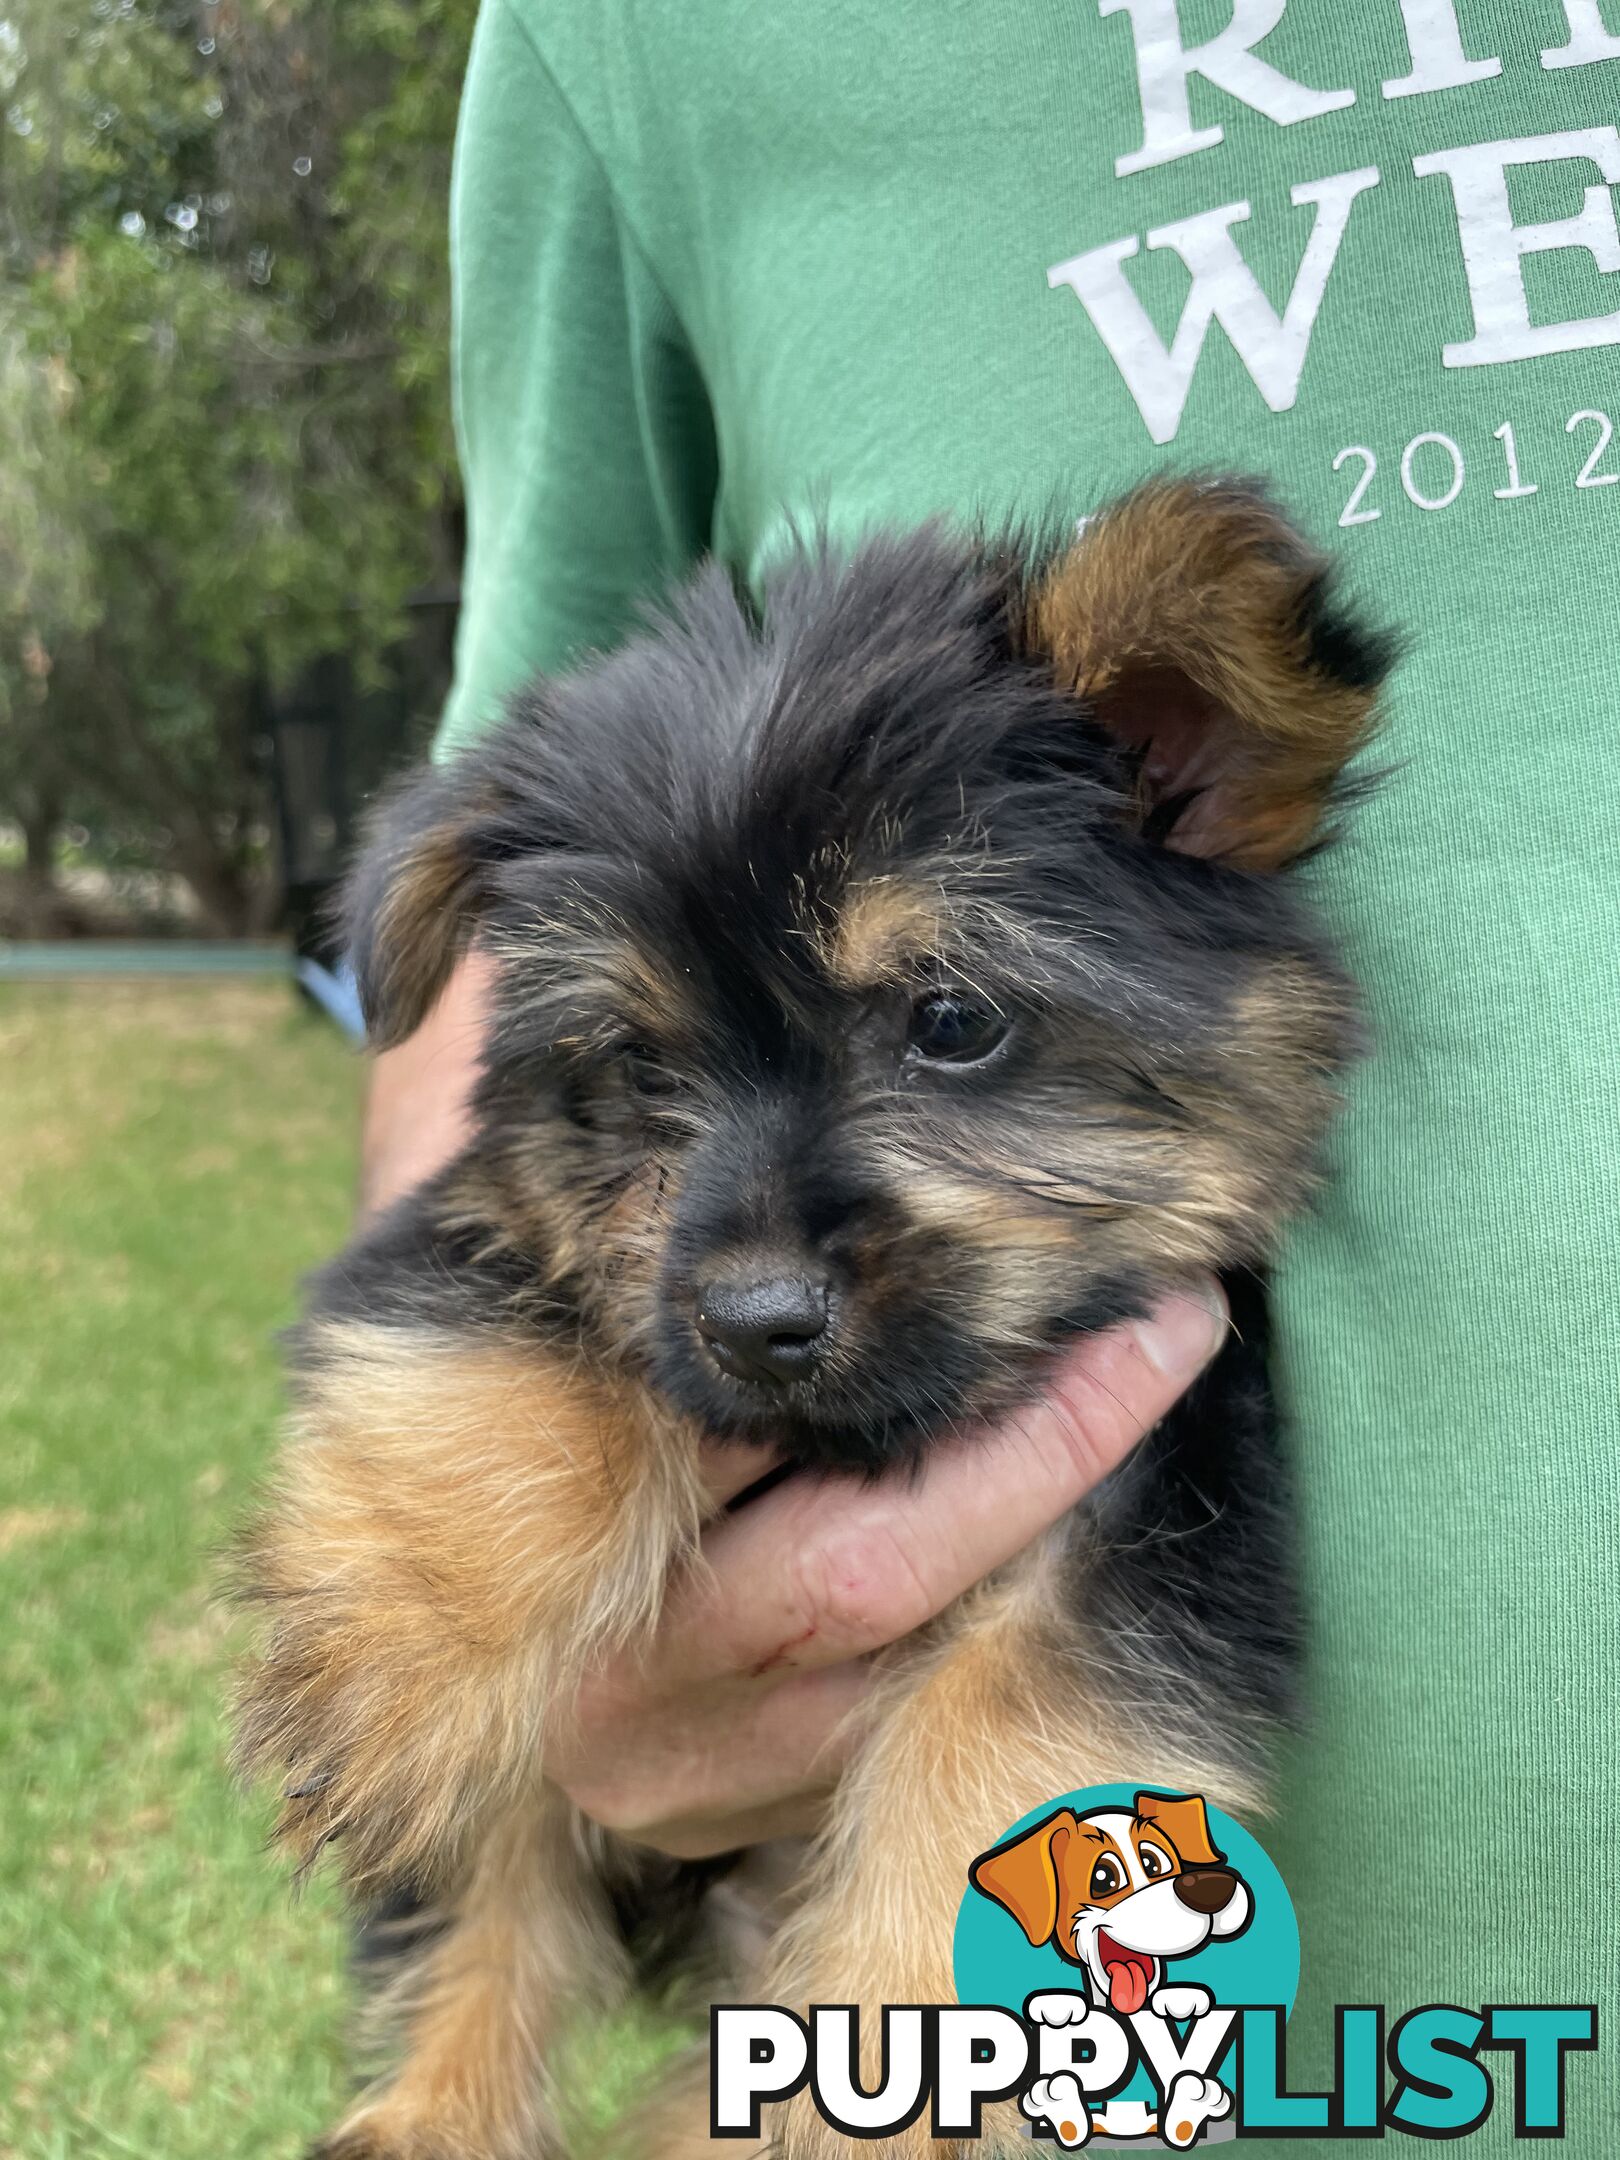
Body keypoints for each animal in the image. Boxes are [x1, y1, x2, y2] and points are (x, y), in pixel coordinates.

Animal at [237, 486, 1399, 2160]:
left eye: (952, 1020)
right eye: (638, 1065)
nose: (752, 1318)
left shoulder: (1168, 1498)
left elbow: (1010, 1728)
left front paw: (912, 2065)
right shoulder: (499, 1224)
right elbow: (526, 1355)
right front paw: (404, 1645)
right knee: (485, 1909)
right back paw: (428, 2113)